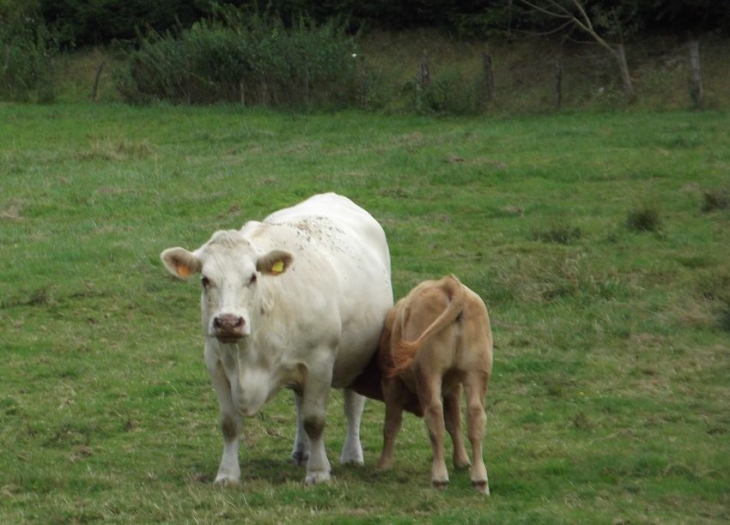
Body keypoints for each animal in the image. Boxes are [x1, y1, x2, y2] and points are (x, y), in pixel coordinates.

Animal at [160, 192, 392, 484]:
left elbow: (315, 421)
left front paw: (318, 472)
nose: (228, 322)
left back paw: (351, 455)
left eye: (252, 276)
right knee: (300, 404)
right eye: (205, 279)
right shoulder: (215, 363)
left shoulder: (320, 361)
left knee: (353, 406)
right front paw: (227, 474)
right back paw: (301, 452)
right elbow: (230, 423)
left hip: (358, 356)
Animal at [350, 276, 492, 494]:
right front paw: (461, 461)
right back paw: (480, 479)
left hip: (428, 374)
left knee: (434, 416)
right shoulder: (453, 386)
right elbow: (454, 422)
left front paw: (384, 464)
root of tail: (448, 284)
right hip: (476, 373)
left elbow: (391, 424)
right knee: (475, 416)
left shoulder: (391, 384)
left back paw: (439, 477)